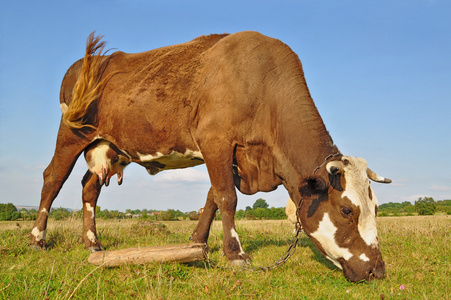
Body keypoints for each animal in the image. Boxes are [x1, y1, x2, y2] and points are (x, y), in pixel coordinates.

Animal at [30, 31, 392, 282]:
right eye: (346, 210)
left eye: (376, 208)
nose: (377, 271)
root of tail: (90, 62)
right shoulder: (214, 139)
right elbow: (227, 197)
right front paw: (236, 256)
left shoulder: (231, 154)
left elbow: (213, 198)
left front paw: (197, 244)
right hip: (71, 132)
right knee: (53, 178)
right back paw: (38, 239)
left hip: (109, 147)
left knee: (89, 188)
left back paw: (93, 244)